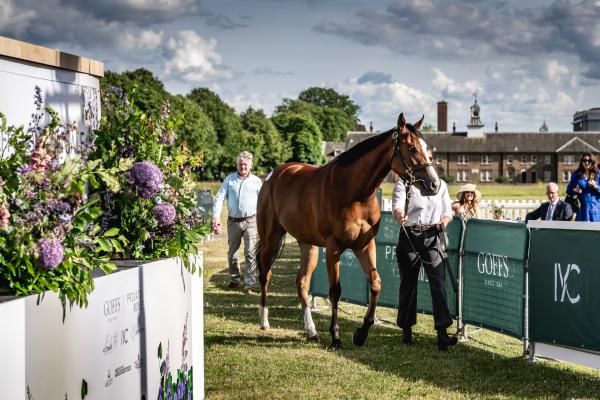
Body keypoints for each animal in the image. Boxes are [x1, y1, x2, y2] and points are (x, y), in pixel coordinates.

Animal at [255, 112, 438, 346]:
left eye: (428, 148)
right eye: (413, 148)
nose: (434, 184)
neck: (354, 193)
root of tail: (273, 175)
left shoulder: (365, 246)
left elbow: (375, 284)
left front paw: (361, 333)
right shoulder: (334, 248)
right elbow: (335, 291)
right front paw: (335, 336)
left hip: (308, 245)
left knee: (302, 283)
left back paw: (311, 330)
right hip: (270, 238)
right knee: (265, 275)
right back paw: (264, 320)